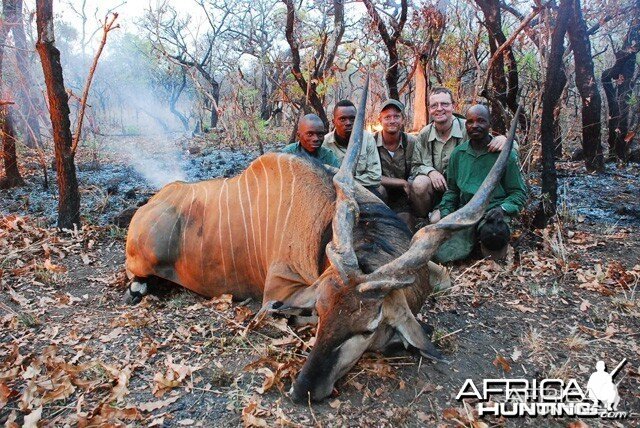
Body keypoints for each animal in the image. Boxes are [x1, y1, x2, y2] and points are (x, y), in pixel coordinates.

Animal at [125, 79, 520, 402]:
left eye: (368, 327)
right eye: (322, 311)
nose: (303, 390)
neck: (323, 224)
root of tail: (151, 205)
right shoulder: (278, 292)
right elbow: (283, 312)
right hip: (143, 260)